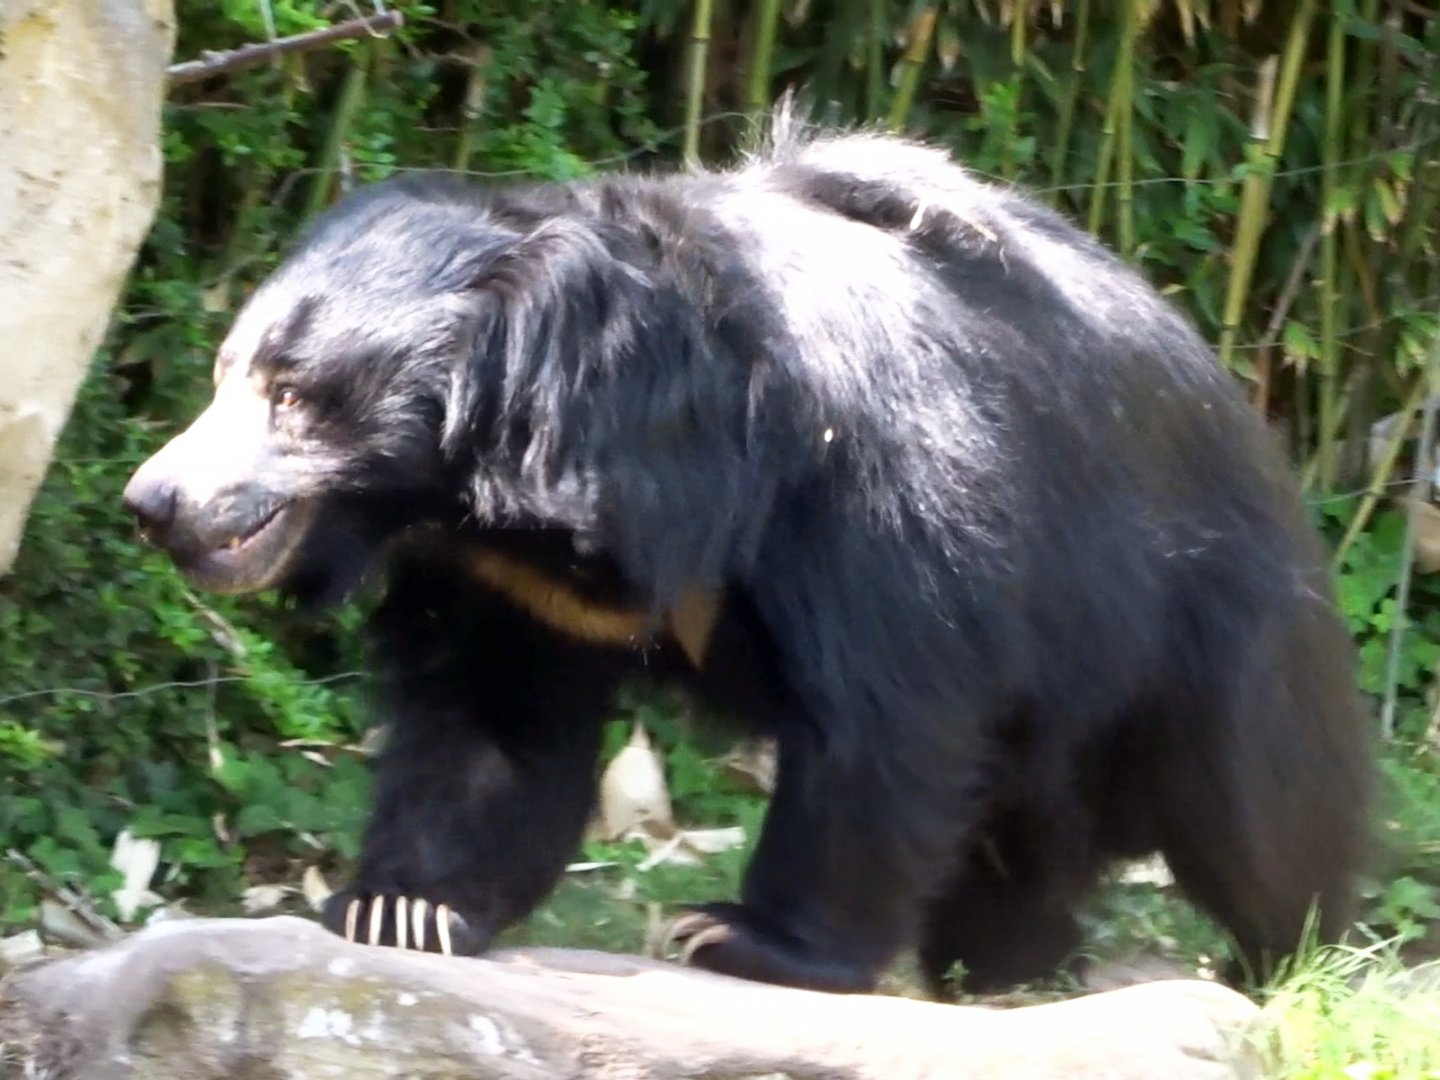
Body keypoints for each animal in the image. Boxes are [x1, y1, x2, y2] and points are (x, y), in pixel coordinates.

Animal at [122, 105, 1375, 997]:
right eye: (227, 373)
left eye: (290, 393)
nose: (153, 501)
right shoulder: (504, 580)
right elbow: (486, 728)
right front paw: (403, 910)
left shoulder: (865, 491)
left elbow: (886, 716)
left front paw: (739, 937)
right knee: (1021, 841)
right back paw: (1012, 969)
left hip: (1214, 627)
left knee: (1256, 810)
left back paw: (1294, 961)